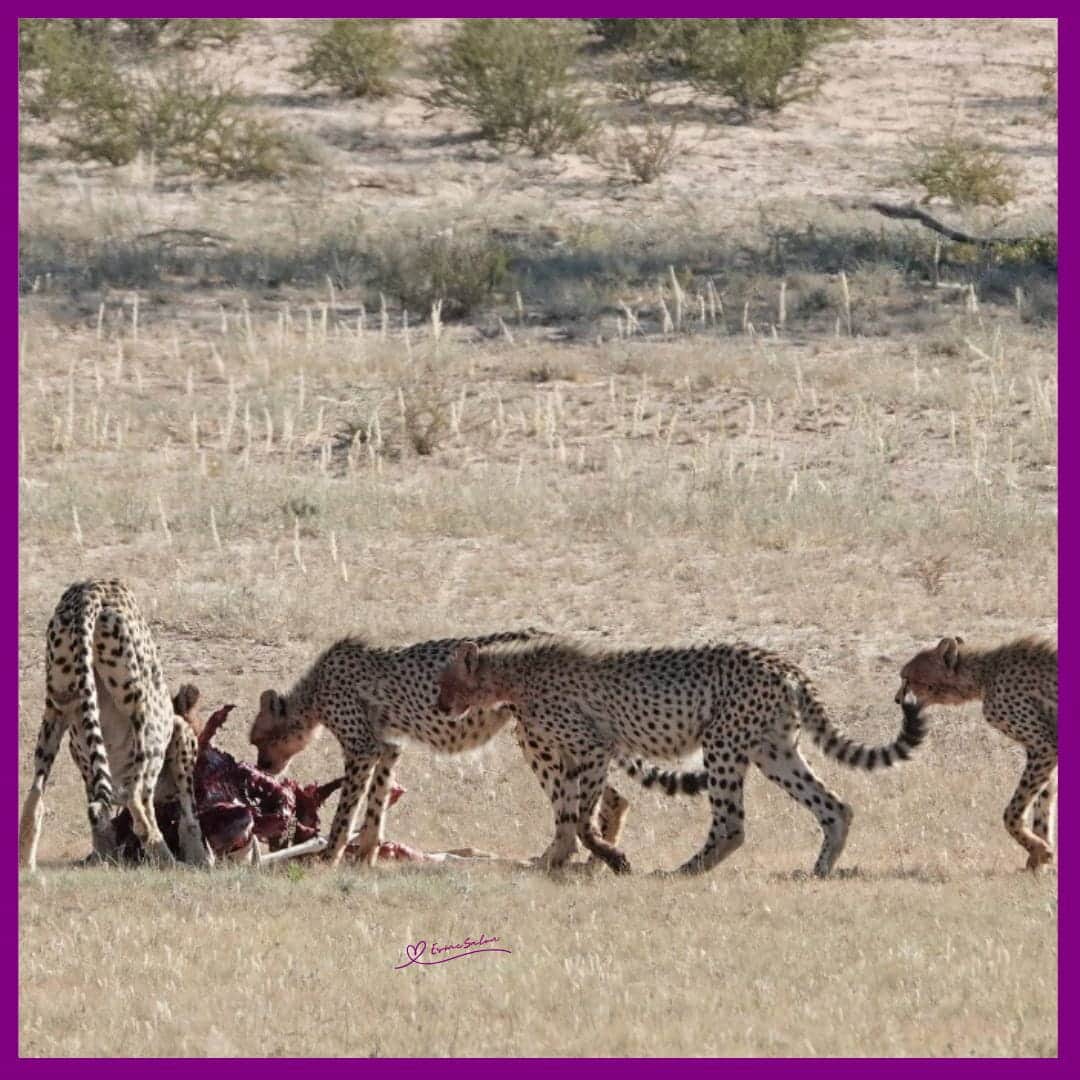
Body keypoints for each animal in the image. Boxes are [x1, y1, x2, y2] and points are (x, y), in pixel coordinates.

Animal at [19, 580, 211, 871]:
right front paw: (201, 858)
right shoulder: (181, 734)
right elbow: (190, 816)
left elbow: (99, 821)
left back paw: (26, 863)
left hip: (56, 705)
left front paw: (103, 856)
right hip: (144, 711)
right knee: (137, 797)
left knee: (35, 795)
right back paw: (165, 857)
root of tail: (89, 589)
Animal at [249, 631, 707, 868]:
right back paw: (592, 858)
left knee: (578, 803)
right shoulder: (388, 746)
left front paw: (330, 853)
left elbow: (348, 809)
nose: (263, 767)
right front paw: (367, 853)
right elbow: (377, 803)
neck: (312, 694)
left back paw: (558, 857)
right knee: (612, 797)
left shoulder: (362, 747)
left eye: (257, 740)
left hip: (535, 735)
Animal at [436, 637, 928, 877]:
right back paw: (820, 870)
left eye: (445, 681)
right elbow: (572, 819)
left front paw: (615, 860)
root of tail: (783, 662)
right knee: (834, 806)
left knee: (731, 825)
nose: (440, 706)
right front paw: (575, 858)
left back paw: (683, 870)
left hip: (723, 746)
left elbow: (581, 821)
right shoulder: (578, 756)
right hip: (773, 750)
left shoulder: (594, 749)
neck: (511, 675)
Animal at [897, 635, 1058, 870]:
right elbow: (1043, 803)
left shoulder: (1044, 746)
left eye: (907, 678)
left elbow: (1013, 811)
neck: (985, 673)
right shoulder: (1048, 749)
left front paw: (1039, 851)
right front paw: (1040, 856)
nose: (897, 699)